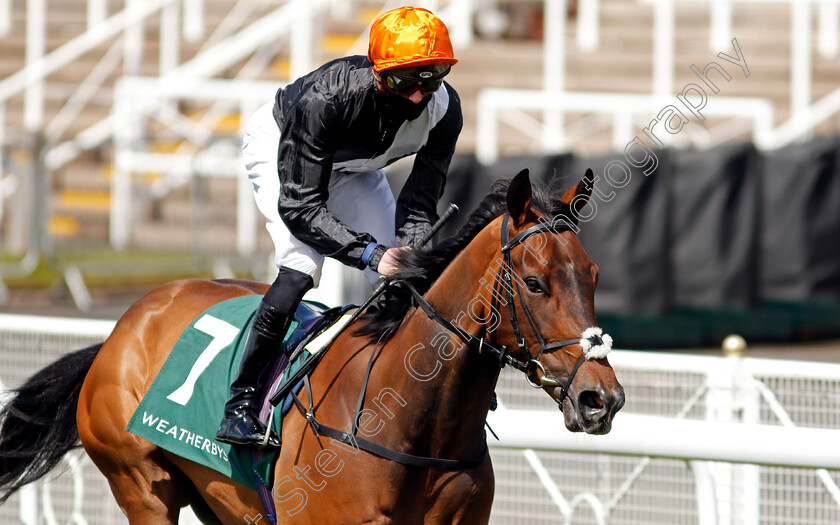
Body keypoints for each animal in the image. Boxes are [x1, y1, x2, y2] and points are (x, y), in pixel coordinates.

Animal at [1, 170, 624, 520]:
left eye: (594, 276)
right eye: (536, 283)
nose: (602, 399)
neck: (414, 423)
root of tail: (123, 327)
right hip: (141, 486)